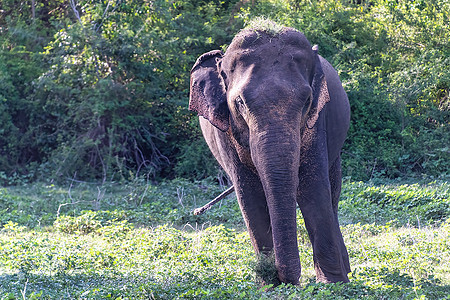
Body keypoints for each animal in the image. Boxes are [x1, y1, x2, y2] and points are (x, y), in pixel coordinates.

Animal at [189, 24, 352, 284]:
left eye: (307, 100)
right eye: (239, 103)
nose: (287, 279)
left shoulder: (317, 121)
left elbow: (313, 187)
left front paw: (333, 283)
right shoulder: (226, 134)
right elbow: (250, 195)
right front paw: (269, 282)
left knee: (333, 194)